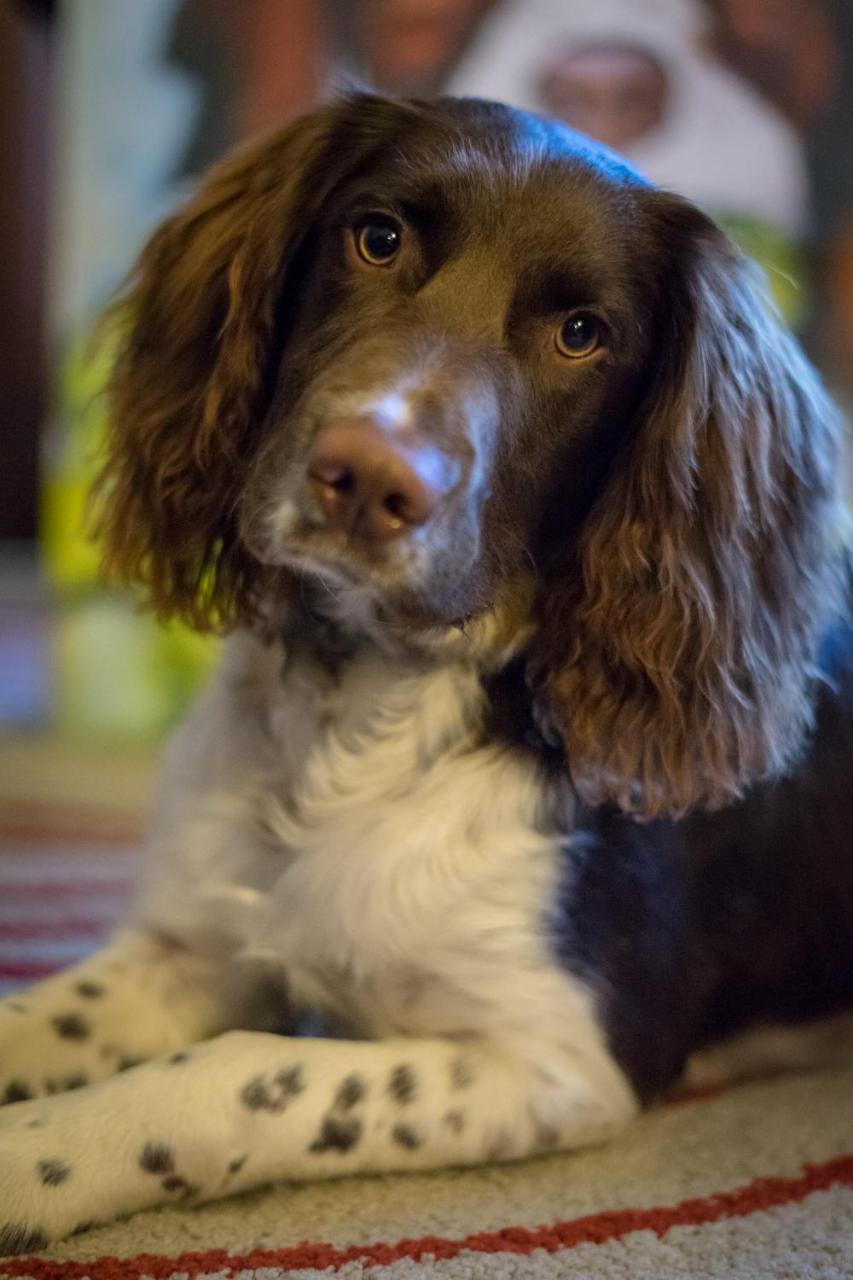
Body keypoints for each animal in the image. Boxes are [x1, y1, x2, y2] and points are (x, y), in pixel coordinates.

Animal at [1, 94, 850, 1254]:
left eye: (580, 334)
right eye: (379, 237)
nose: (368, 479)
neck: (360, 705)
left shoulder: (560, 1059)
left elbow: (236, 1074)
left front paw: (32, 1159)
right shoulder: (190, 940)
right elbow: (38, 1016)